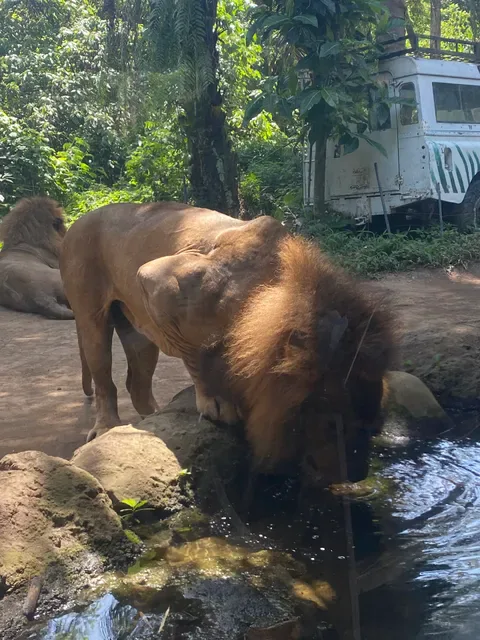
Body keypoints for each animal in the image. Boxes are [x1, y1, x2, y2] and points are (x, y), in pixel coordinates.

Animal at [60, 201, 394, 486]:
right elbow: (198, 353)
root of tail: (78, 220)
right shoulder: (157, 279)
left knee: (138, 385)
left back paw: (155, 415)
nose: (357, 475)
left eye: (374, 426)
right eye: (333, 426)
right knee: (104, 378)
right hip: (91, 315)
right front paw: (218, 401)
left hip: (139, 335)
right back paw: (107, 427)